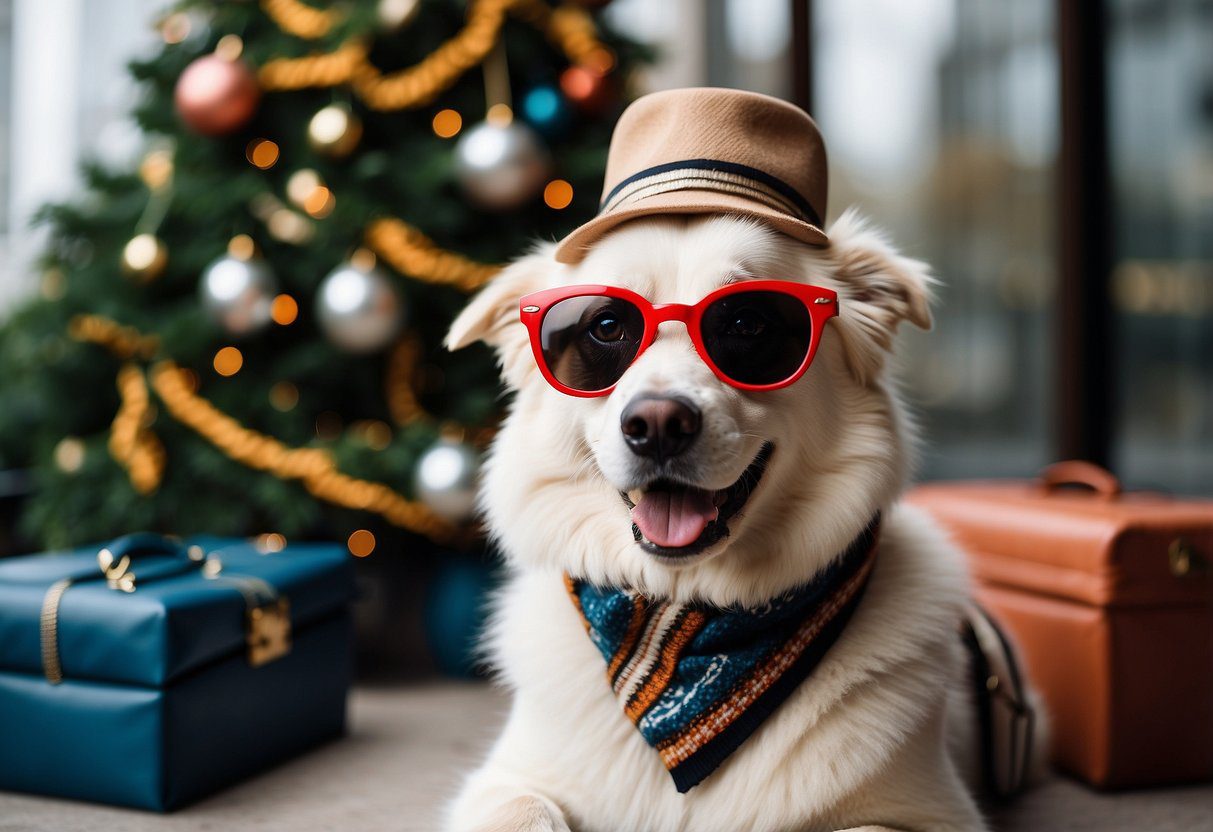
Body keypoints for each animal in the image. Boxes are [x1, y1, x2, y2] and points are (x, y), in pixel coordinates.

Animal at [441, 209, 1038, 832]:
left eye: (748, 323)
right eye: (606, 326)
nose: (658, 425)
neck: (690, 618)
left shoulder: (934, 813)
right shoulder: (506, 781)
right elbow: (525, 811)